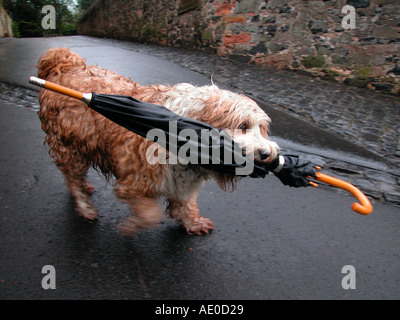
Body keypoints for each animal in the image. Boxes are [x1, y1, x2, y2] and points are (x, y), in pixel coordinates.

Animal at [37, 47, 280, 235]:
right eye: (243, 126)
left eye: (262, 129)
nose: (267, 154)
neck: (184, 130)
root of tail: (62, 66)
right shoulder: (134, 181)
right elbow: (150, 214)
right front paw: (133, 225)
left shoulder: (182, 182)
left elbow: (184, 205)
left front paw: (193, 222)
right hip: (69, 147)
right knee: (72, 178)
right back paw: (85, 206)